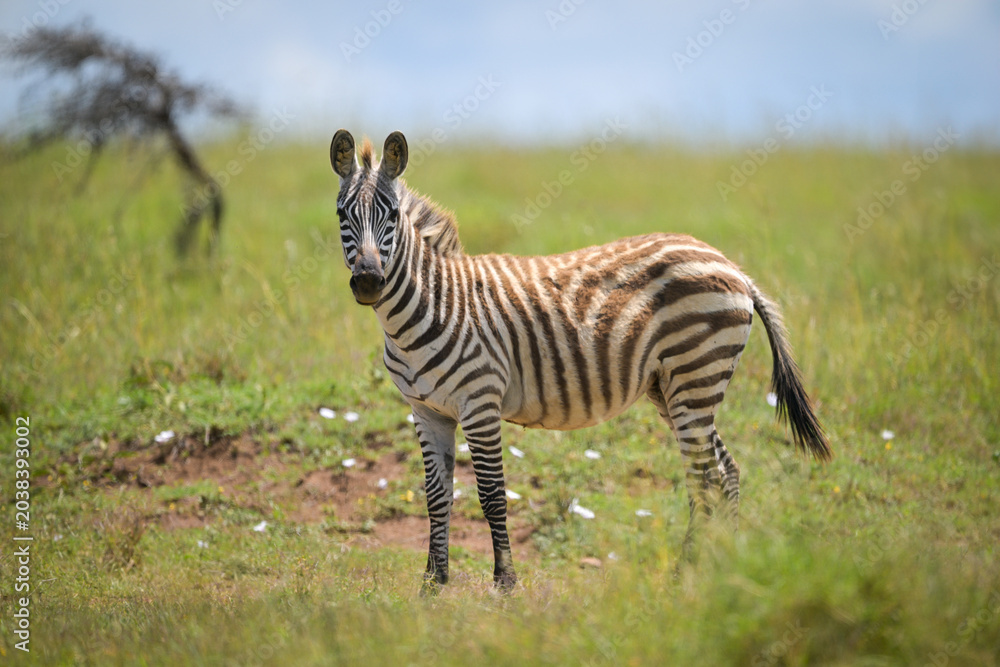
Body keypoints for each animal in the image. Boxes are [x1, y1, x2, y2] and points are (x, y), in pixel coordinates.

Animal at [329, 129, 831, 592]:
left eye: (392, 215)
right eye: (341, 215)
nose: (369, 281)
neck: (427, 308)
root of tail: (730, 264)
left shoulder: (480, 403)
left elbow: (491, 495)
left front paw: (504, 583)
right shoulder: (426, 411)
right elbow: (436, 497)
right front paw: (432, 586)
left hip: (696, 374)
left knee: (704, 476)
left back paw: (688, 573)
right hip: (673, 389)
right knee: (725, 471)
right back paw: (721, 566)